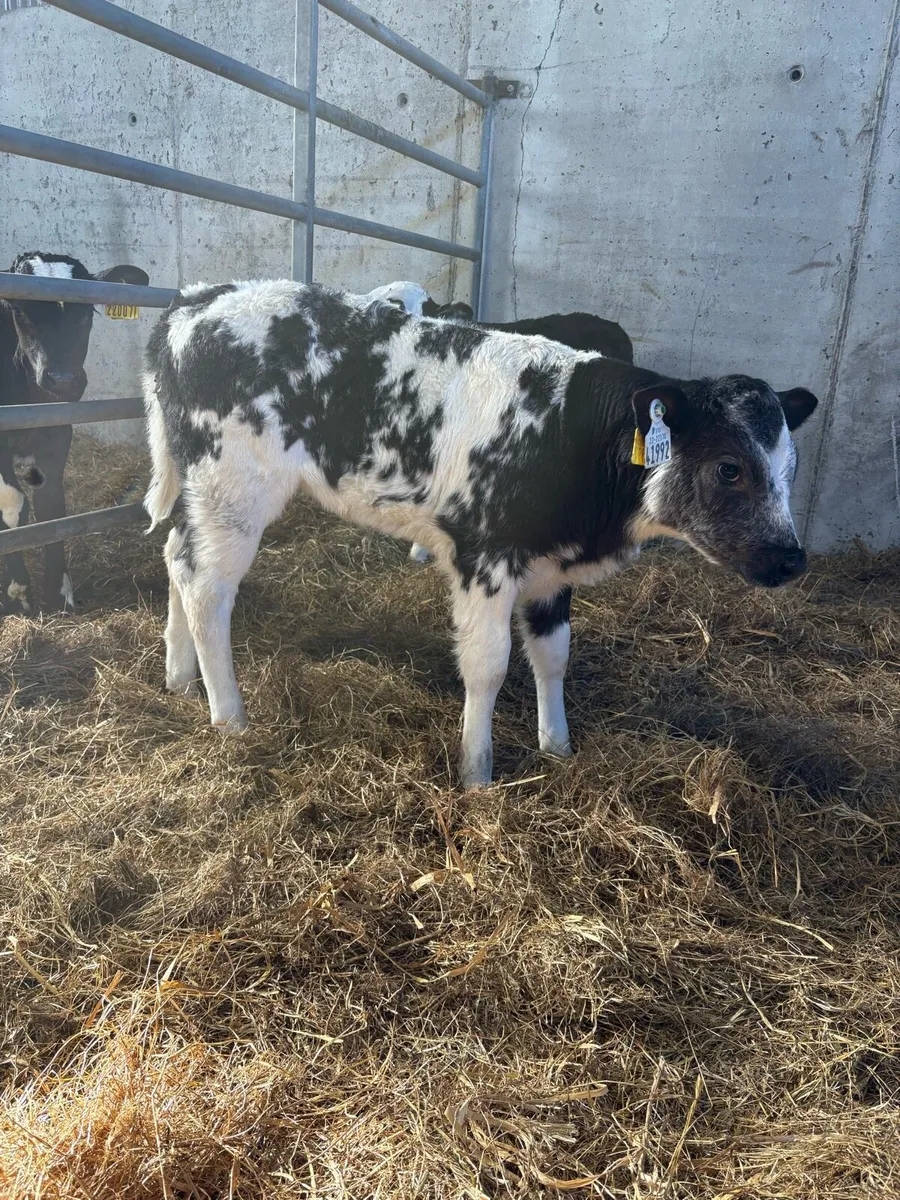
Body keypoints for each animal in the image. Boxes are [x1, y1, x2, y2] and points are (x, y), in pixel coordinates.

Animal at [0, 252, 149, 613]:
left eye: (86, 312)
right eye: (19, 310)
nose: (63, 378)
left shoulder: (58, 430)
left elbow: (51, 505)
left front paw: (59, 593)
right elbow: (13, 504)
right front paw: (16, 593)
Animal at [142, 280, 818, 787]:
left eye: (791, 466)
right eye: (729, 467)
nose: (791, 559)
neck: (570, 434)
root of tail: (196, 299)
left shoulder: (551, 568)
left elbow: (553, 654)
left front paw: (558, 746)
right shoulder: (484, 556)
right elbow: (489, 665)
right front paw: (477, 773)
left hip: (203, 488)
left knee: (176, 554)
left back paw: (178, 677)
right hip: (234, 484)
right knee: (207, 587)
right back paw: (229, 717)